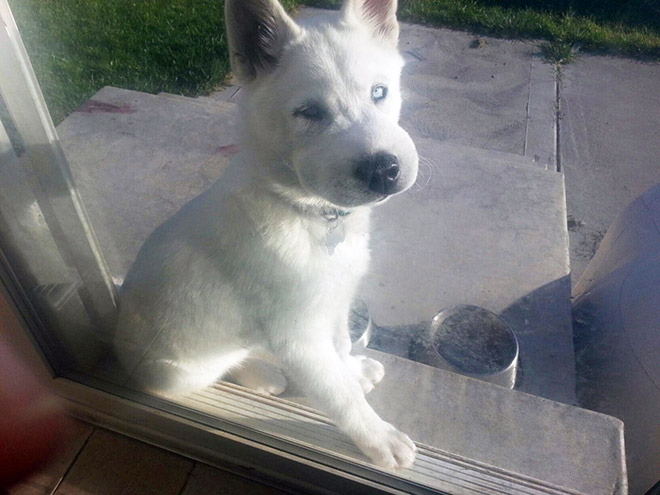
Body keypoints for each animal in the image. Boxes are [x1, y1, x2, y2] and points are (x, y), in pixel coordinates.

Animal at [114, 0, 418, 470]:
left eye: (379, 92)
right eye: (309, 113)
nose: (384, 169)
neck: (308, 213)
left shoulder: (334, 303)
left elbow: (340, 349)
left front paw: (353, 369)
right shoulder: (297, 336)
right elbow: (339, 395)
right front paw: (378, 436)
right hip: (177, 370)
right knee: (212, 372)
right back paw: (258, 373)